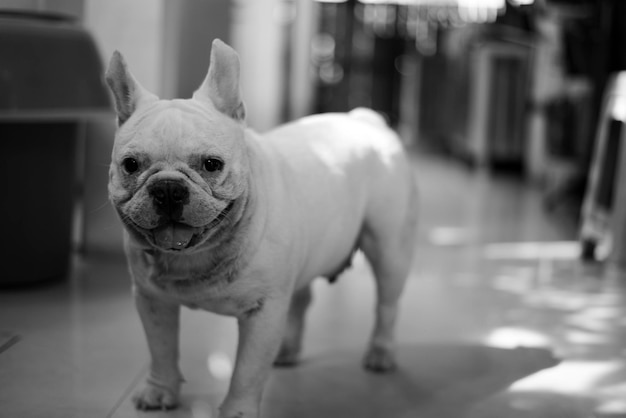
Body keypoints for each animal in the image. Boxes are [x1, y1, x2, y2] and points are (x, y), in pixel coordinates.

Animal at [105, 39, 416, 418]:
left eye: (212, 164)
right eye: (130, 165)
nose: (167, 188)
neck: (199, 254)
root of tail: (364, 119)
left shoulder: (263, 313)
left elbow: (247, 370)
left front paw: (237, 410)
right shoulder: (153, 301)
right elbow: (161, 349)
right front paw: (160, 391)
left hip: (389, 249)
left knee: (387, 304)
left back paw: (381, 353)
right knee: (301, 300)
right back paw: (288, 349)